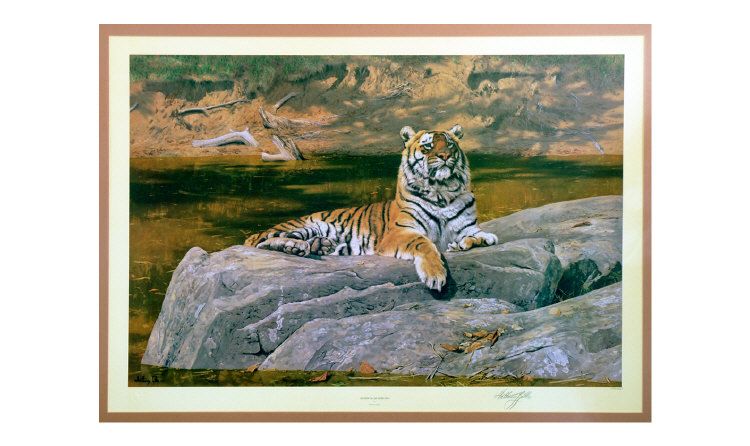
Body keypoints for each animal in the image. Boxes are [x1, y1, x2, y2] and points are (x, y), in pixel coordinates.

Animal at [244, 124, 498, 291]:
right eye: (428, 147)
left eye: (450, 144)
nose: (445, 155)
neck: (442, 192)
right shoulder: (400, 233)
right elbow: (424, 244)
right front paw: (435, 274)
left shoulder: (467, 227)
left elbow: (482, 236)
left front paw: (465, 243)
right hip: (302, 225)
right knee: (264, 241)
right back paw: (294, 246)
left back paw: (319, 246)